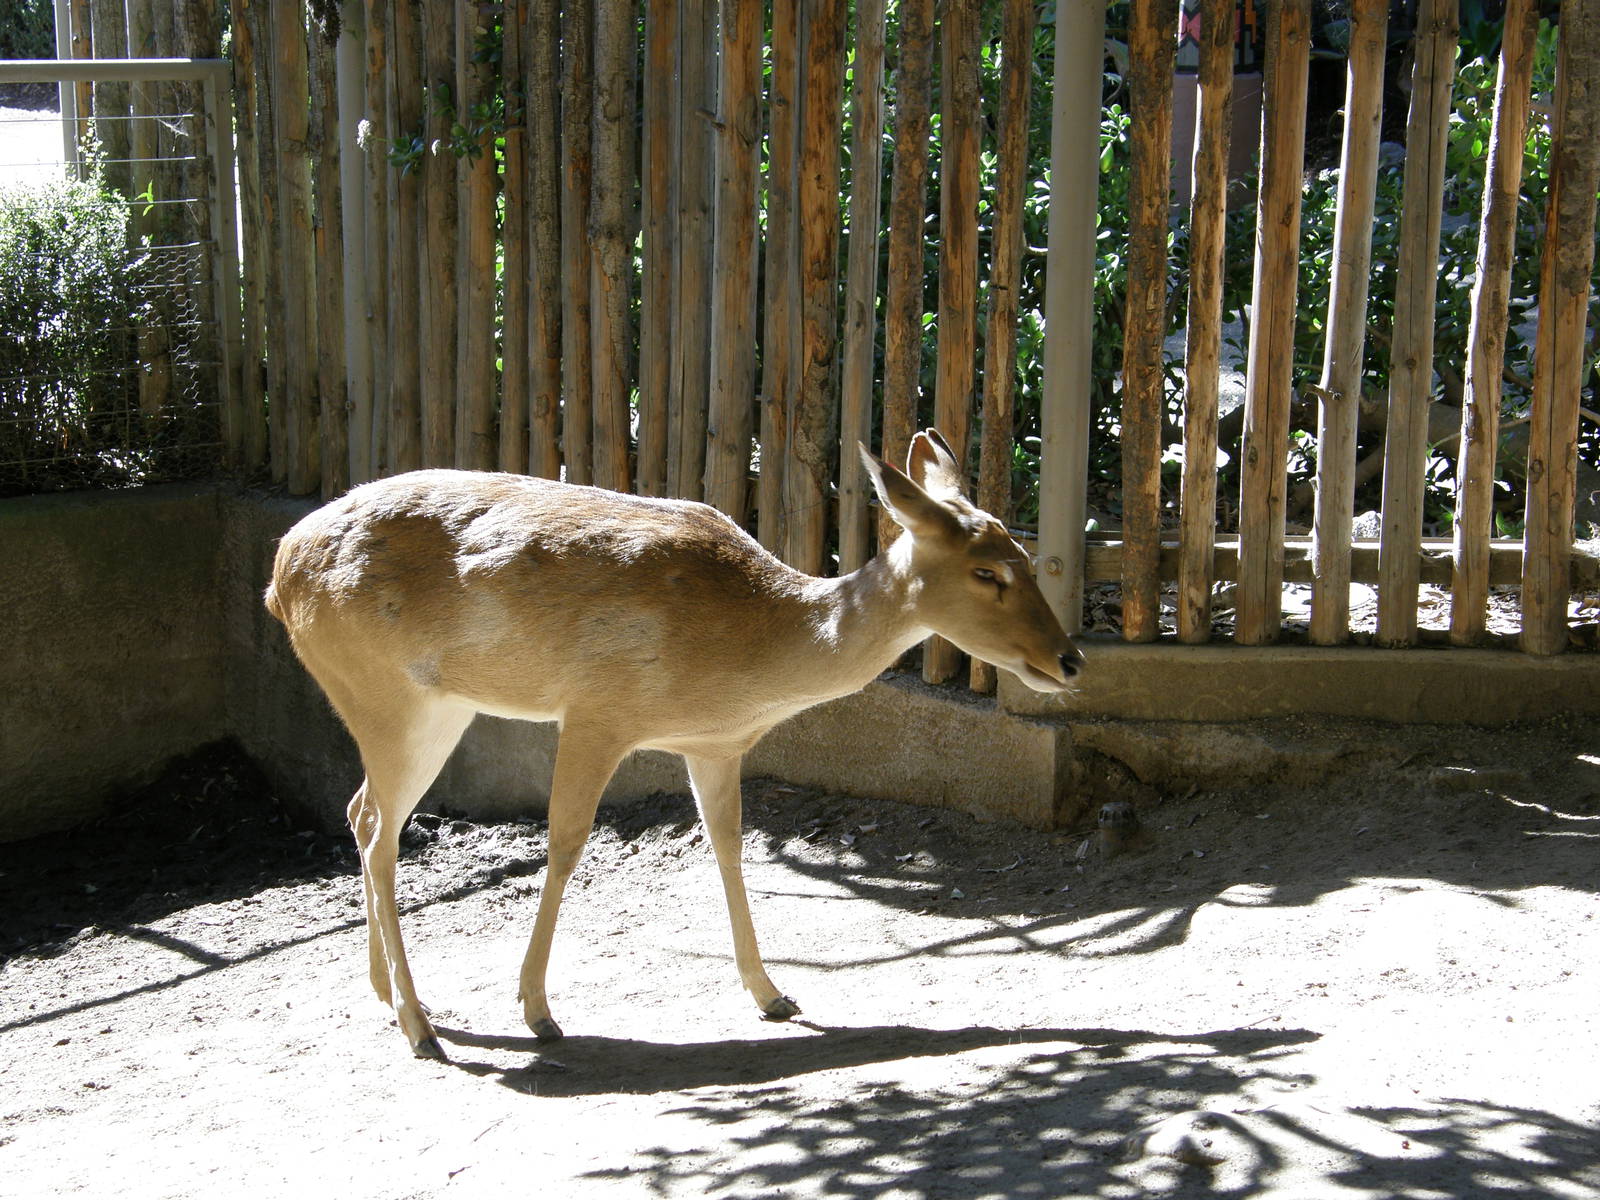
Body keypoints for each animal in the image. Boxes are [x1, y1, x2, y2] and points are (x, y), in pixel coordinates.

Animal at [265, 429, 1084, 1059]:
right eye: (986, 570)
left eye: (1024, 552)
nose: (1071, 660)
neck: (751, 653)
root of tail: (278, 577)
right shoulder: (597, 711)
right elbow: (566, 844)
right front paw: (537, 1010)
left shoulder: (712, 743)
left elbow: (727, 844)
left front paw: (773, 994)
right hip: (387, 696)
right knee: (381, 835)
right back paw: (421, 1026)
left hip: (431, 709)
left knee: (361, 811)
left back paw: (385, 992)